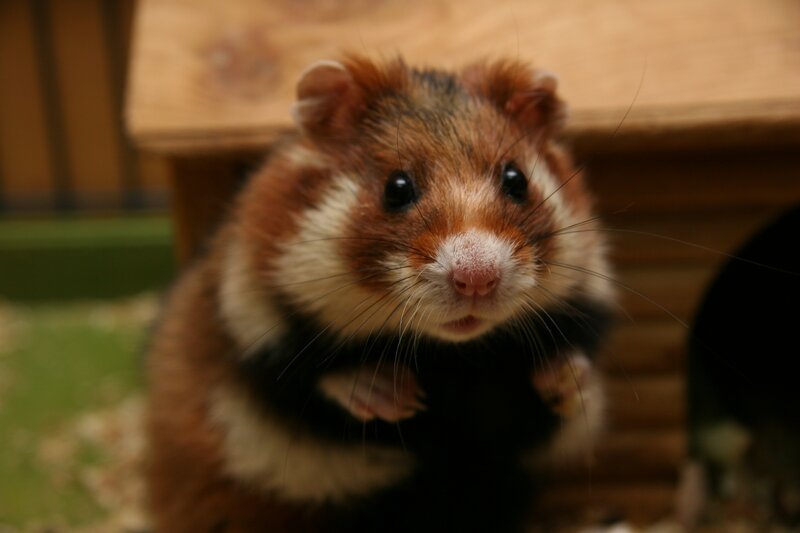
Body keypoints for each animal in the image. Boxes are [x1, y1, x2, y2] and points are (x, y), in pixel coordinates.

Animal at [144, 55, 615, 533]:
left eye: (517, 180)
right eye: (397, 187)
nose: (477, 278)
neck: (453, 355)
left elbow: (572, 364)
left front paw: (562, 380)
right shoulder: (257, 331)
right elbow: (316, 377)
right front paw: (399, 397)